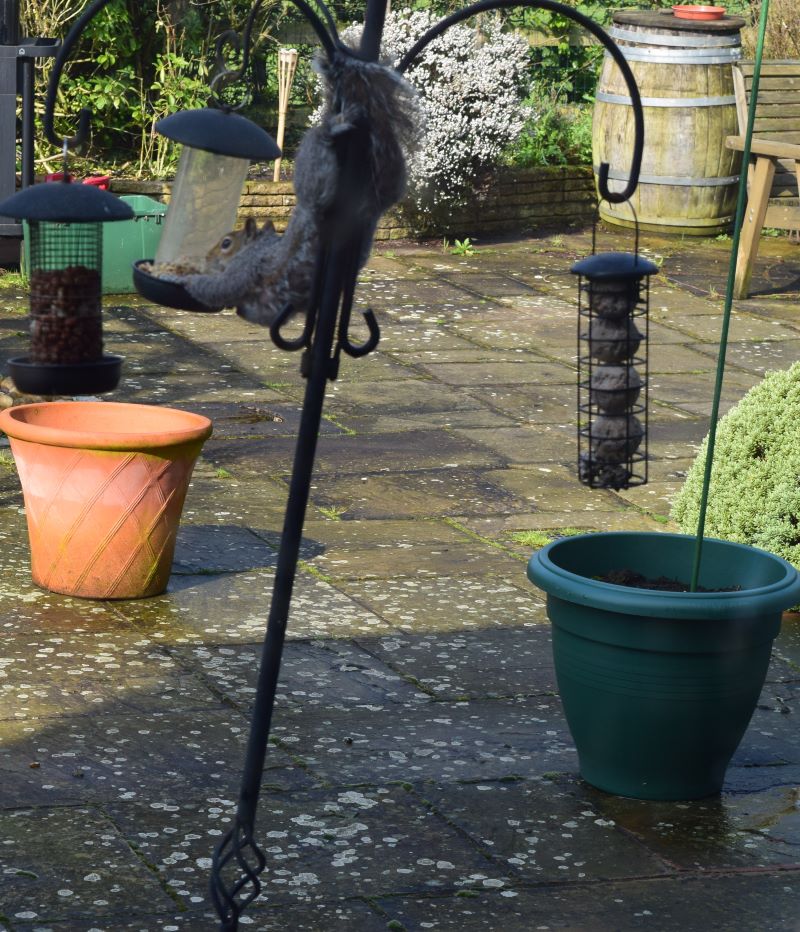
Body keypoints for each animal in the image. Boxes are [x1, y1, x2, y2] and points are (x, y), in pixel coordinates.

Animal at [167, 47, 420, 326]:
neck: (256, 246)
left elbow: (219, 289)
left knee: (320, 148)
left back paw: (335, 125)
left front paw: (186, 279)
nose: (208, 257)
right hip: (387, 175)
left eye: (226, 243)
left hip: (315, 170)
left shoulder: (246, 268)